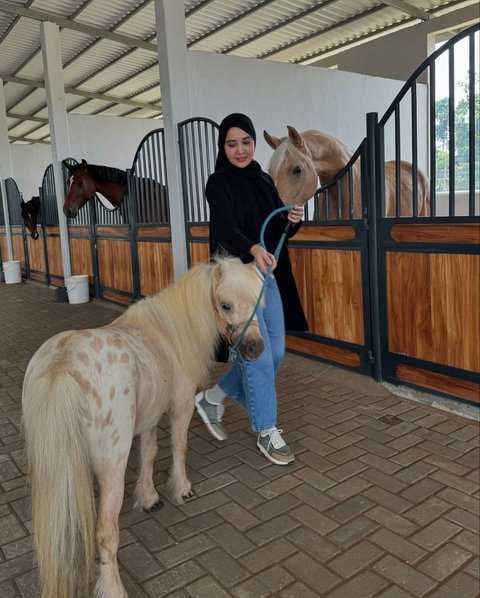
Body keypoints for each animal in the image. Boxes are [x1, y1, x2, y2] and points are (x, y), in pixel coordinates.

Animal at [22, 258, 264, 598]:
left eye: (259, 301)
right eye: (226, 305)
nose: (256, 349)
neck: (167, 334)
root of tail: (61, 365)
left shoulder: (149, 417)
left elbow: (149, 452)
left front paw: (150, 498)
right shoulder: (180, 406)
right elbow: (178, 446)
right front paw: (182, 489)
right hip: (111, 464)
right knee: (106, 532)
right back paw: (114, 588)